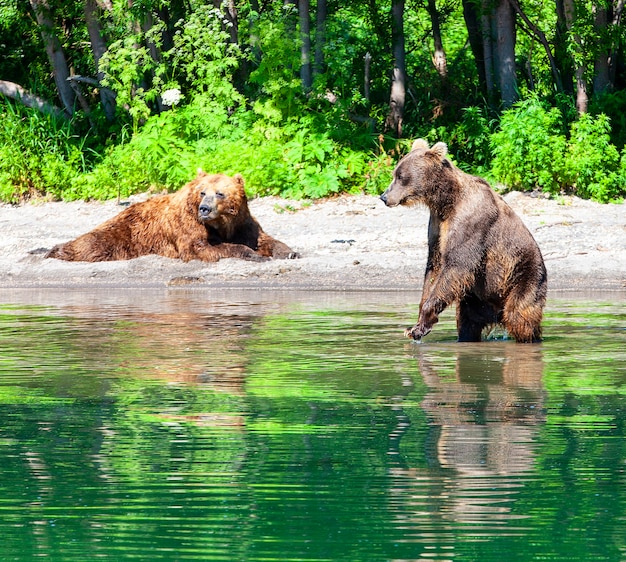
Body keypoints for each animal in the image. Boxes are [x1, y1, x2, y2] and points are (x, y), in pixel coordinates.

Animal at [45, 170, 298, 262]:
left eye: (220, 193)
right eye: (202, 192)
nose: (204, 209)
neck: (222, 224)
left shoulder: (243, 222)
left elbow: (262, 238)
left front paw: (289, 251)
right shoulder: (187, 223)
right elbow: (200, 247)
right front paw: (251, 254)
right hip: (122, 233)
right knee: (93, 244)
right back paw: (55, 250)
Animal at [378, 138, 544, 344]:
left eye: (401, 176)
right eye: (395, 173)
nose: (384, 196)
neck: (446, 200)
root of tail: (497, 314)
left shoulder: (470, 221)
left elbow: (458, 264)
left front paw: (419, 326)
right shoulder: (437, 225)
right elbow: (434, 267)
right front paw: (414, 326)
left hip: (523, 275)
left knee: (520, 315)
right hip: (475, 300)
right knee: (467, 323)